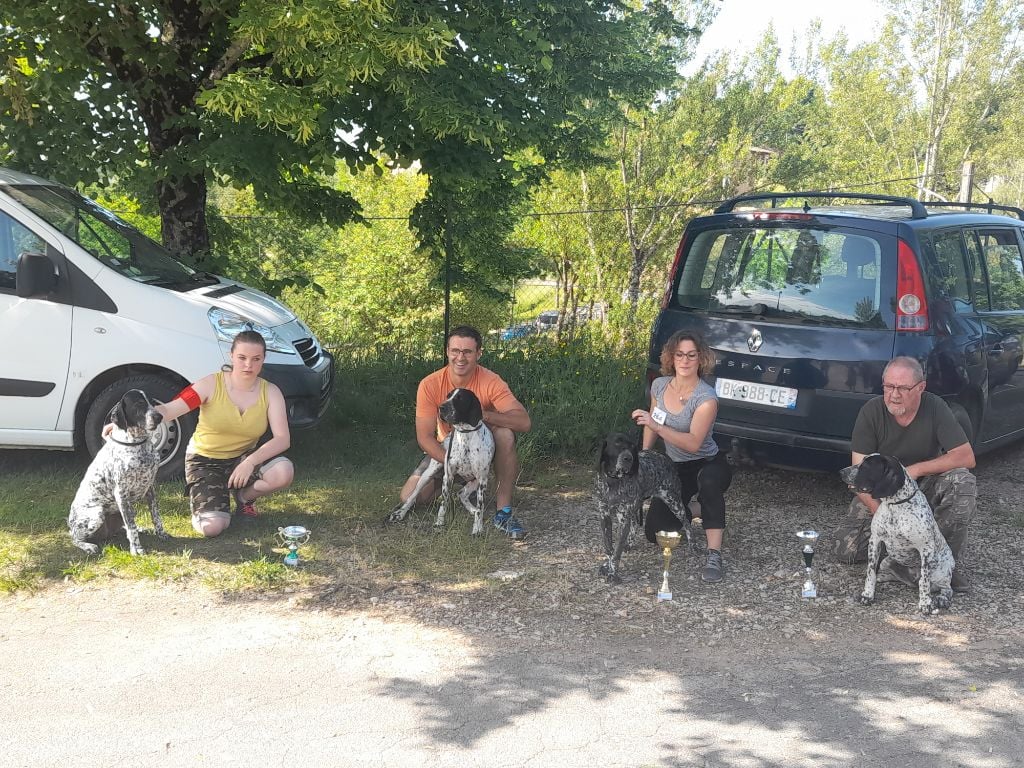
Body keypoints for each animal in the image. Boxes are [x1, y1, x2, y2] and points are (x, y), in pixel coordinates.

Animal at [67, 387, 166, 557]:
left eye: (152, 403)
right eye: (139, 403)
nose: (159, 417)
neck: (137, 444)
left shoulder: (150, 488)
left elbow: (155, 516)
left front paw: (161, 533)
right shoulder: (122, 494)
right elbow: (132, 529)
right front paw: (137, 549)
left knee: (125, 527)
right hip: (97, 514)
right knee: (74, 538)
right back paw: (88, 546)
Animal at [387, 391, 495, 536]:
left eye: (460, 398)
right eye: (448, 395)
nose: (441, 407)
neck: (465, 435)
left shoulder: (482, 479)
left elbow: (480, 507)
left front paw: (477, 528)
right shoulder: (448, 477)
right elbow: (444, 503)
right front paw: (439, 523)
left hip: (475, 482)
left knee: (462, 494)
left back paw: (473, 510)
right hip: (426, 475)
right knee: (412, 496)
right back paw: (400, 513)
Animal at [593, 434, 696, 581]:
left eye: (631, 446)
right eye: (617, 444)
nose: (628, 458)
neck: (613, 483)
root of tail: (664, 456)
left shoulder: (623, 519)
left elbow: (616, 551)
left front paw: (613, 573)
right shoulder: (604, 517)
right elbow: (609, 548)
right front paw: (608, 565)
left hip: (673, 502)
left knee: (687, 522)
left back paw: (693, 545)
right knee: (635, 523)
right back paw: (629, 544)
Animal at [839, 454, 950, 618]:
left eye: (866, 466)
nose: (841, 472)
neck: (895, 505)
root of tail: (911, 580)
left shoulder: (925, 548)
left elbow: (924, 581)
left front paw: (925, 604)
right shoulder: (875, 540)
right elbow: (870, 571)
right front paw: (868, 594)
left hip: (942, 571)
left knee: (945, 587)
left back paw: (941, 598)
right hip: (887, 561)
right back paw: (882, 578)